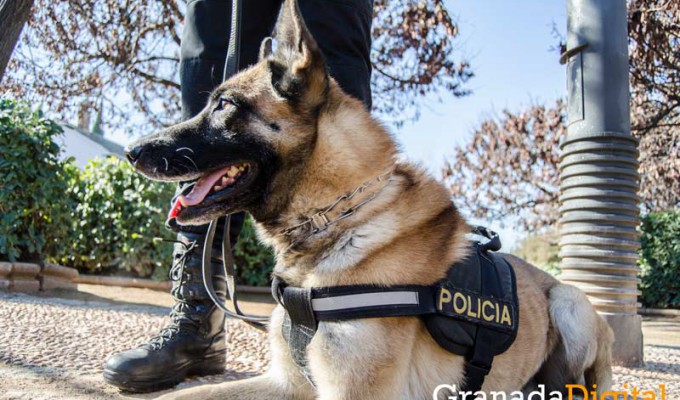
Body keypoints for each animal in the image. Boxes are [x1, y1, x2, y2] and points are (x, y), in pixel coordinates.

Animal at [125, 1, 612, 398]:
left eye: (224, 105)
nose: (132, 151)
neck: (337, 219)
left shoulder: (351, 391)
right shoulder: (286, 382)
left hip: (568, 301)